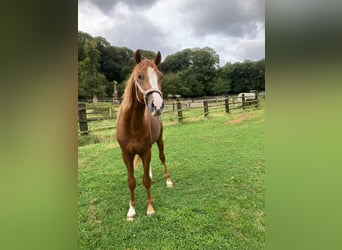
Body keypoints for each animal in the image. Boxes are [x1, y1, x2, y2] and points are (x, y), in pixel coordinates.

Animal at [116, 49, 172, 221]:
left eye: (160, 76)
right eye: (140, 76)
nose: (157, 106)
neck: (132, 125)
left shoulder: (145, 150)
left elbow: (146, 181)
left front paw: (150, 208)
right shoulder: (126, 154)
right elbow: (131, 181)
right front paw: (131, 210)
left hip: (159, 141)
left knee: (162, 157)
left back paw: (168, 180)